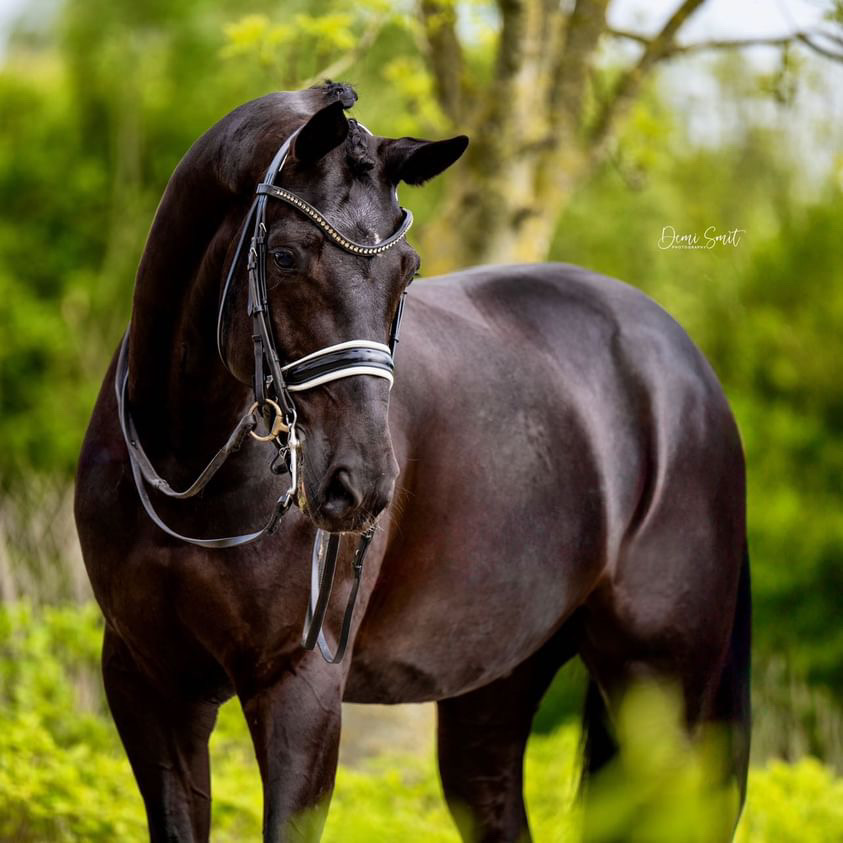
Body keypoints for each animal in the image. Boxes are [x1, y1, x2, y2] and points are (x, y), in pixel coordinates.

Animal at [76, 84, 752, 843]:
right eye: (283, 256)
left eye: (407, 270)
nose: (361, 485)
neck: (188, 468)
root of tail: (689, 373)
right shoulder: (147, 683)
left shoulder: (298, 686)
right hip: (496, 684)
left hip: (662, 693)